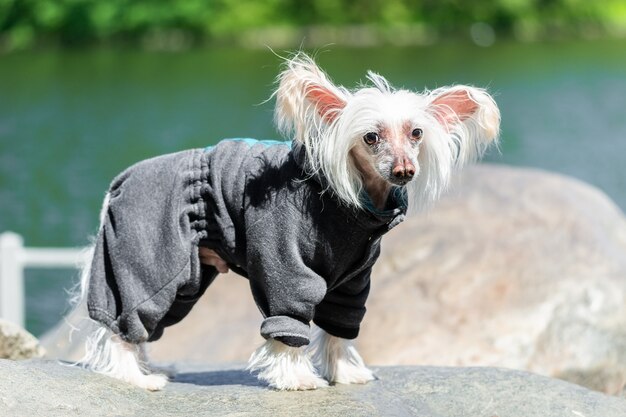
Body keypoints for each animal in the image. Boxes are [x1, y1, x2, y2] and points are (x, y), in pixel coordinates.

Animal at [77, 51, 498, 390]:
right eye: (371, 137)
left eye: (416, 133)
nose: (404, 171)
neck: (355, 204)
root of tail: (120, 181)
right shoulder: (285, 266)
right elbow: (289, 318)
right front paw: (296, 378)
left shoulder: (353, 281)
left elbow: (340, 327)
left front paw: (345, 373)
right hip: (149, 260)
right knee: (124, 324)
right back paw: (135, 378)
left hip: (188, 278)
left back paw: (148, 368)